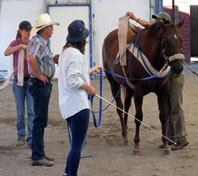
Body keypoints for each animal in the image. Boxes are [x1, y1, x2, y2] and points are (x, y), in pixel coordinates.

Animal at [102, 21, 184, 154]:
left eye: (181, 40)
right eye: (166, 41)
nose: (178, 68)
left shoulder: (163, 90)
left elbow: (163, 116)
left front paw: (166, 144)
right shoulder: (139, 91)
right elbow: (138, 117)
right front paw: (136, 145)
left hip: (128, 88)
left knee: (126, 106)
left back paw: (126, 135)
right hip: (113, 82)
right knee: (120, 108)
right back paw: (124, 135)